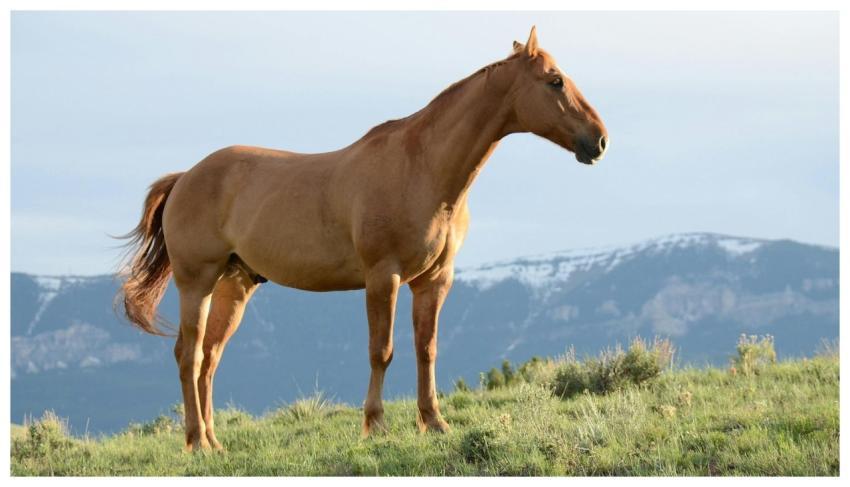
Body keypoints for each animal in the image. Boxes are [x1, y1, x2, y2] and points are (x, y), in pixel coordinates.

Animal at [118, 26, 608, 451]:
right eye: (555, 81)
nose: (599, 140)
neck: (422, 168)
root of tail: (186, 177)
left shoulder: (434, 280)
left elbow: (426, 349)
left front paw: (434, 422)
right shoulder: (382, 277)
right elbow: (382, 351)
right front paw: (375, 425)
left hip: (233, 286)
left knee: (209, 358)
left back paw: (214, 442)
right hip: (196, 283)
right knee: (189, 355)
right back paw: (197, 442)